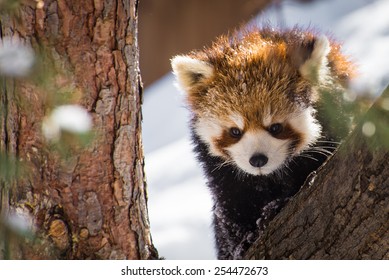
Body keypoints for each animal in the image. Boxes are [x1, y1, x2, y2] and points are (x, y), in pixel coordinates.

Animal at [171, 27, 354, 260]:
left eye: (275, 127)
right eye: (235, 132)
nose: (257, 160)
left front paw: (275, 207)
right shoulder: (221, 174)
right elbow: (231, 206)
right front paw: (243, 240)